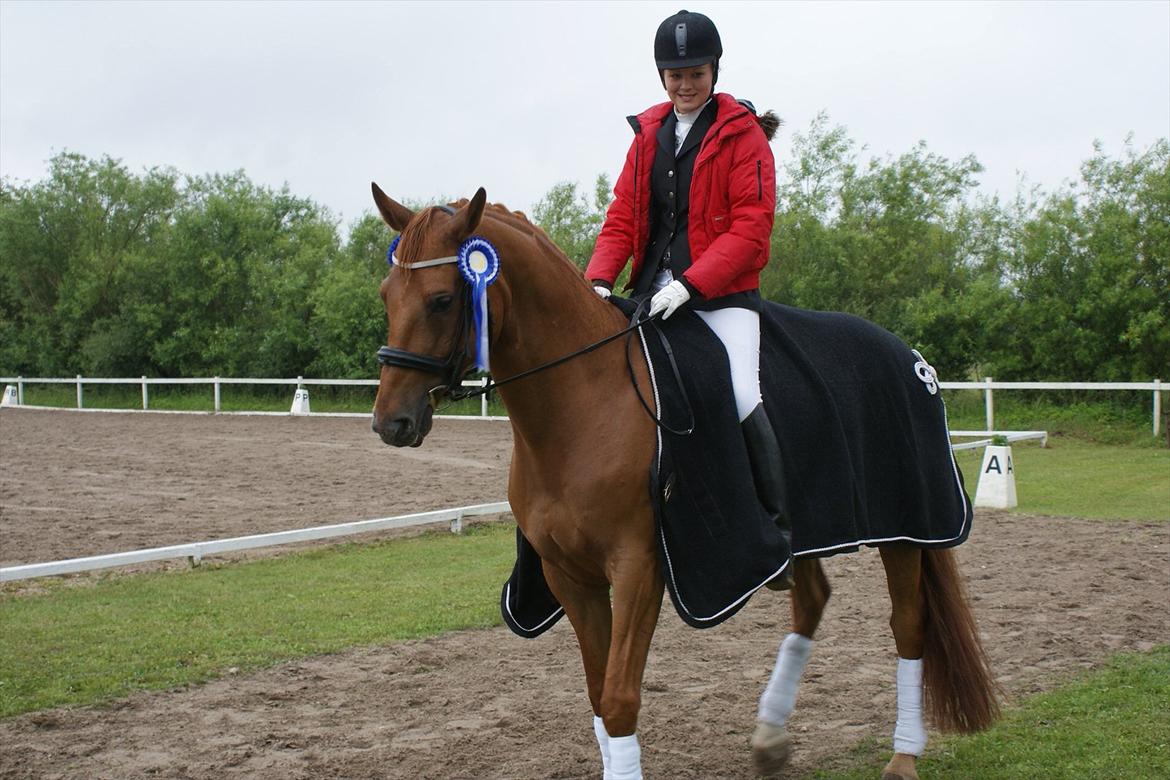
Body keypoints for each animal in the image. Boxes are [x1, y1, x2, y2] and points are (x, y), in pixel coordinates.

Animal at [367, 184, 996, 780]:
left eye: (443, 299)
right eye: (386, 295)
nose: (390, 422)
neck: (584, 402)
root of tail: (910, 356)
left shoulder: (638, 566)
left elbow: (619, 698)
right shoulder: (568, 574)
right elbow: (597, 693)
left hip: (909, 530)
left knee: (909, 627)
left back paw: (903, 756)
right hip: (803, 536)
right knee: (813, 601)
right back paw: (771, 738)